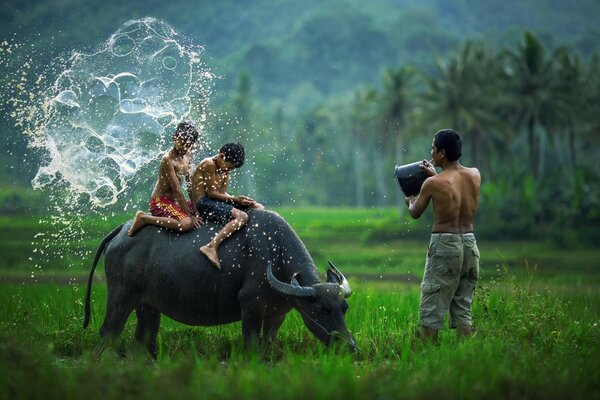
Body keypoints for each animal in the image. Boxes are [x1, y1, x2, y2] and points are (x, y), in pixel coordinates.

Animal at [84, 209, 356, 356]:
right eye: (322, 309)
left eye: (344, 308)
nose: (350, 347)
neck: (275, 252)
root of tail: (121, 230)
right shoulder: (251, 305)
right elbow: (251, 343)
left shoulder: (277, 313)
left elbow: (268, 344)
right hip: (121, 295)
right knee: (109, 332)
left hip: (148, 305)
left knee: (145, 335)